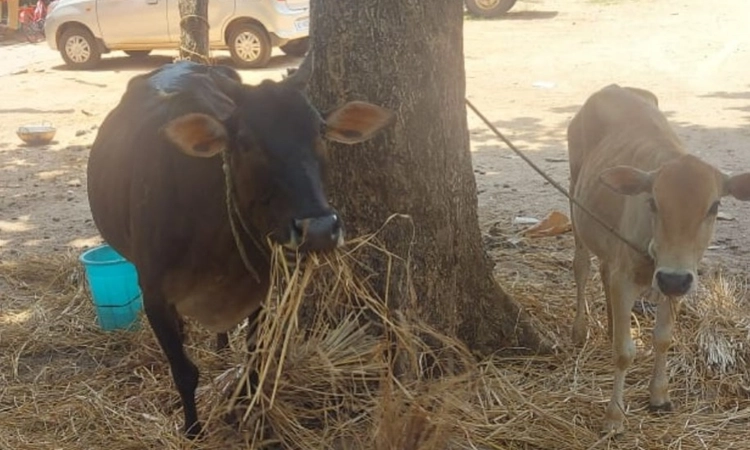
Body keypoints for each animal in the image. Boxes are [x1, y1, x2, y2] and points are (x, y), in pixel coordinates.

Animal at [86, 57, 394, 438]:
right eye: (245, 140)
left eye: (321, 132)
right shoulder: (154, 297)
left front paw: (246, 413)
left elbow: (255, 357)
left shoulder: (259, 290)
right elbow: (184, 371)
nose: (320, 230)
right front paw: (193, 430)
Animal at [567, 84, 750, 434]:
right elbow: (624, 352)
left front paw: (659, 396)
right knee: (582, 265)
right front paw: (613, 417)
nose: (672, 277)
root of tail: (611, 87)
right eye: (652, 202)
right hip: (574, 195)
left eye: (714, 206)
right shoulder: (629, 277)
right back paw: (580, 329)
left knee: (604, 268)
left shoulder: (679, 280)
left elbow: (663, 338)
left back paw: (610, 325)